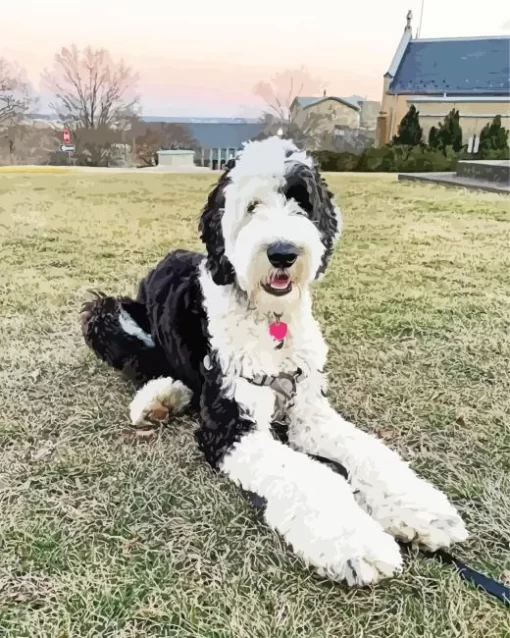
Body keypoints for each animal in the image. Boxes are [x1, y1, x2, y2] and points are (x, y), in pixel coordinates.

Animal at [81, 138, 468, 588]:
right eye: (252, 206)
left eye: (302, 201)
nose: (283, 253)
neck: (270, 320)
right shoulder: (233, 424)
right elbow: (309, 474)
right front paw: (354, 543)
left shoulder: (309, 409)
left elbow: (368, 449)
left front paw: (423, 510)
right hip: (106, 312)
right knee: (144, 361)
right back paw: (160, 398)